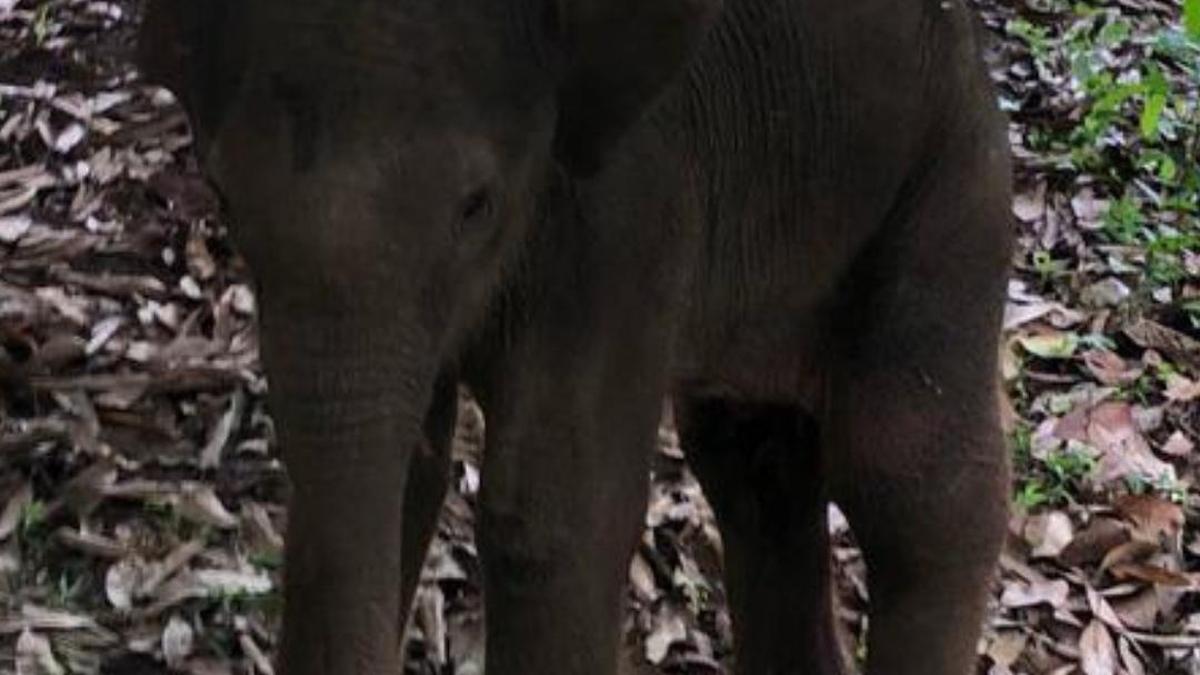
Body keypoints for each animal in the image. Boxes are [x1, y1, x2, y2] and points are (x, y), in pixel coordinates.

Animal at [136, 0, 1013, 673]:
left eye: (476, 205)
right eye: (222, 190)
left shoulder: (626, 220)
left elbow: (551, 520)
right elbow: (408, 471)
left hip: (950, 189)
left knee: (911, 480)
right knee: (752, 460)